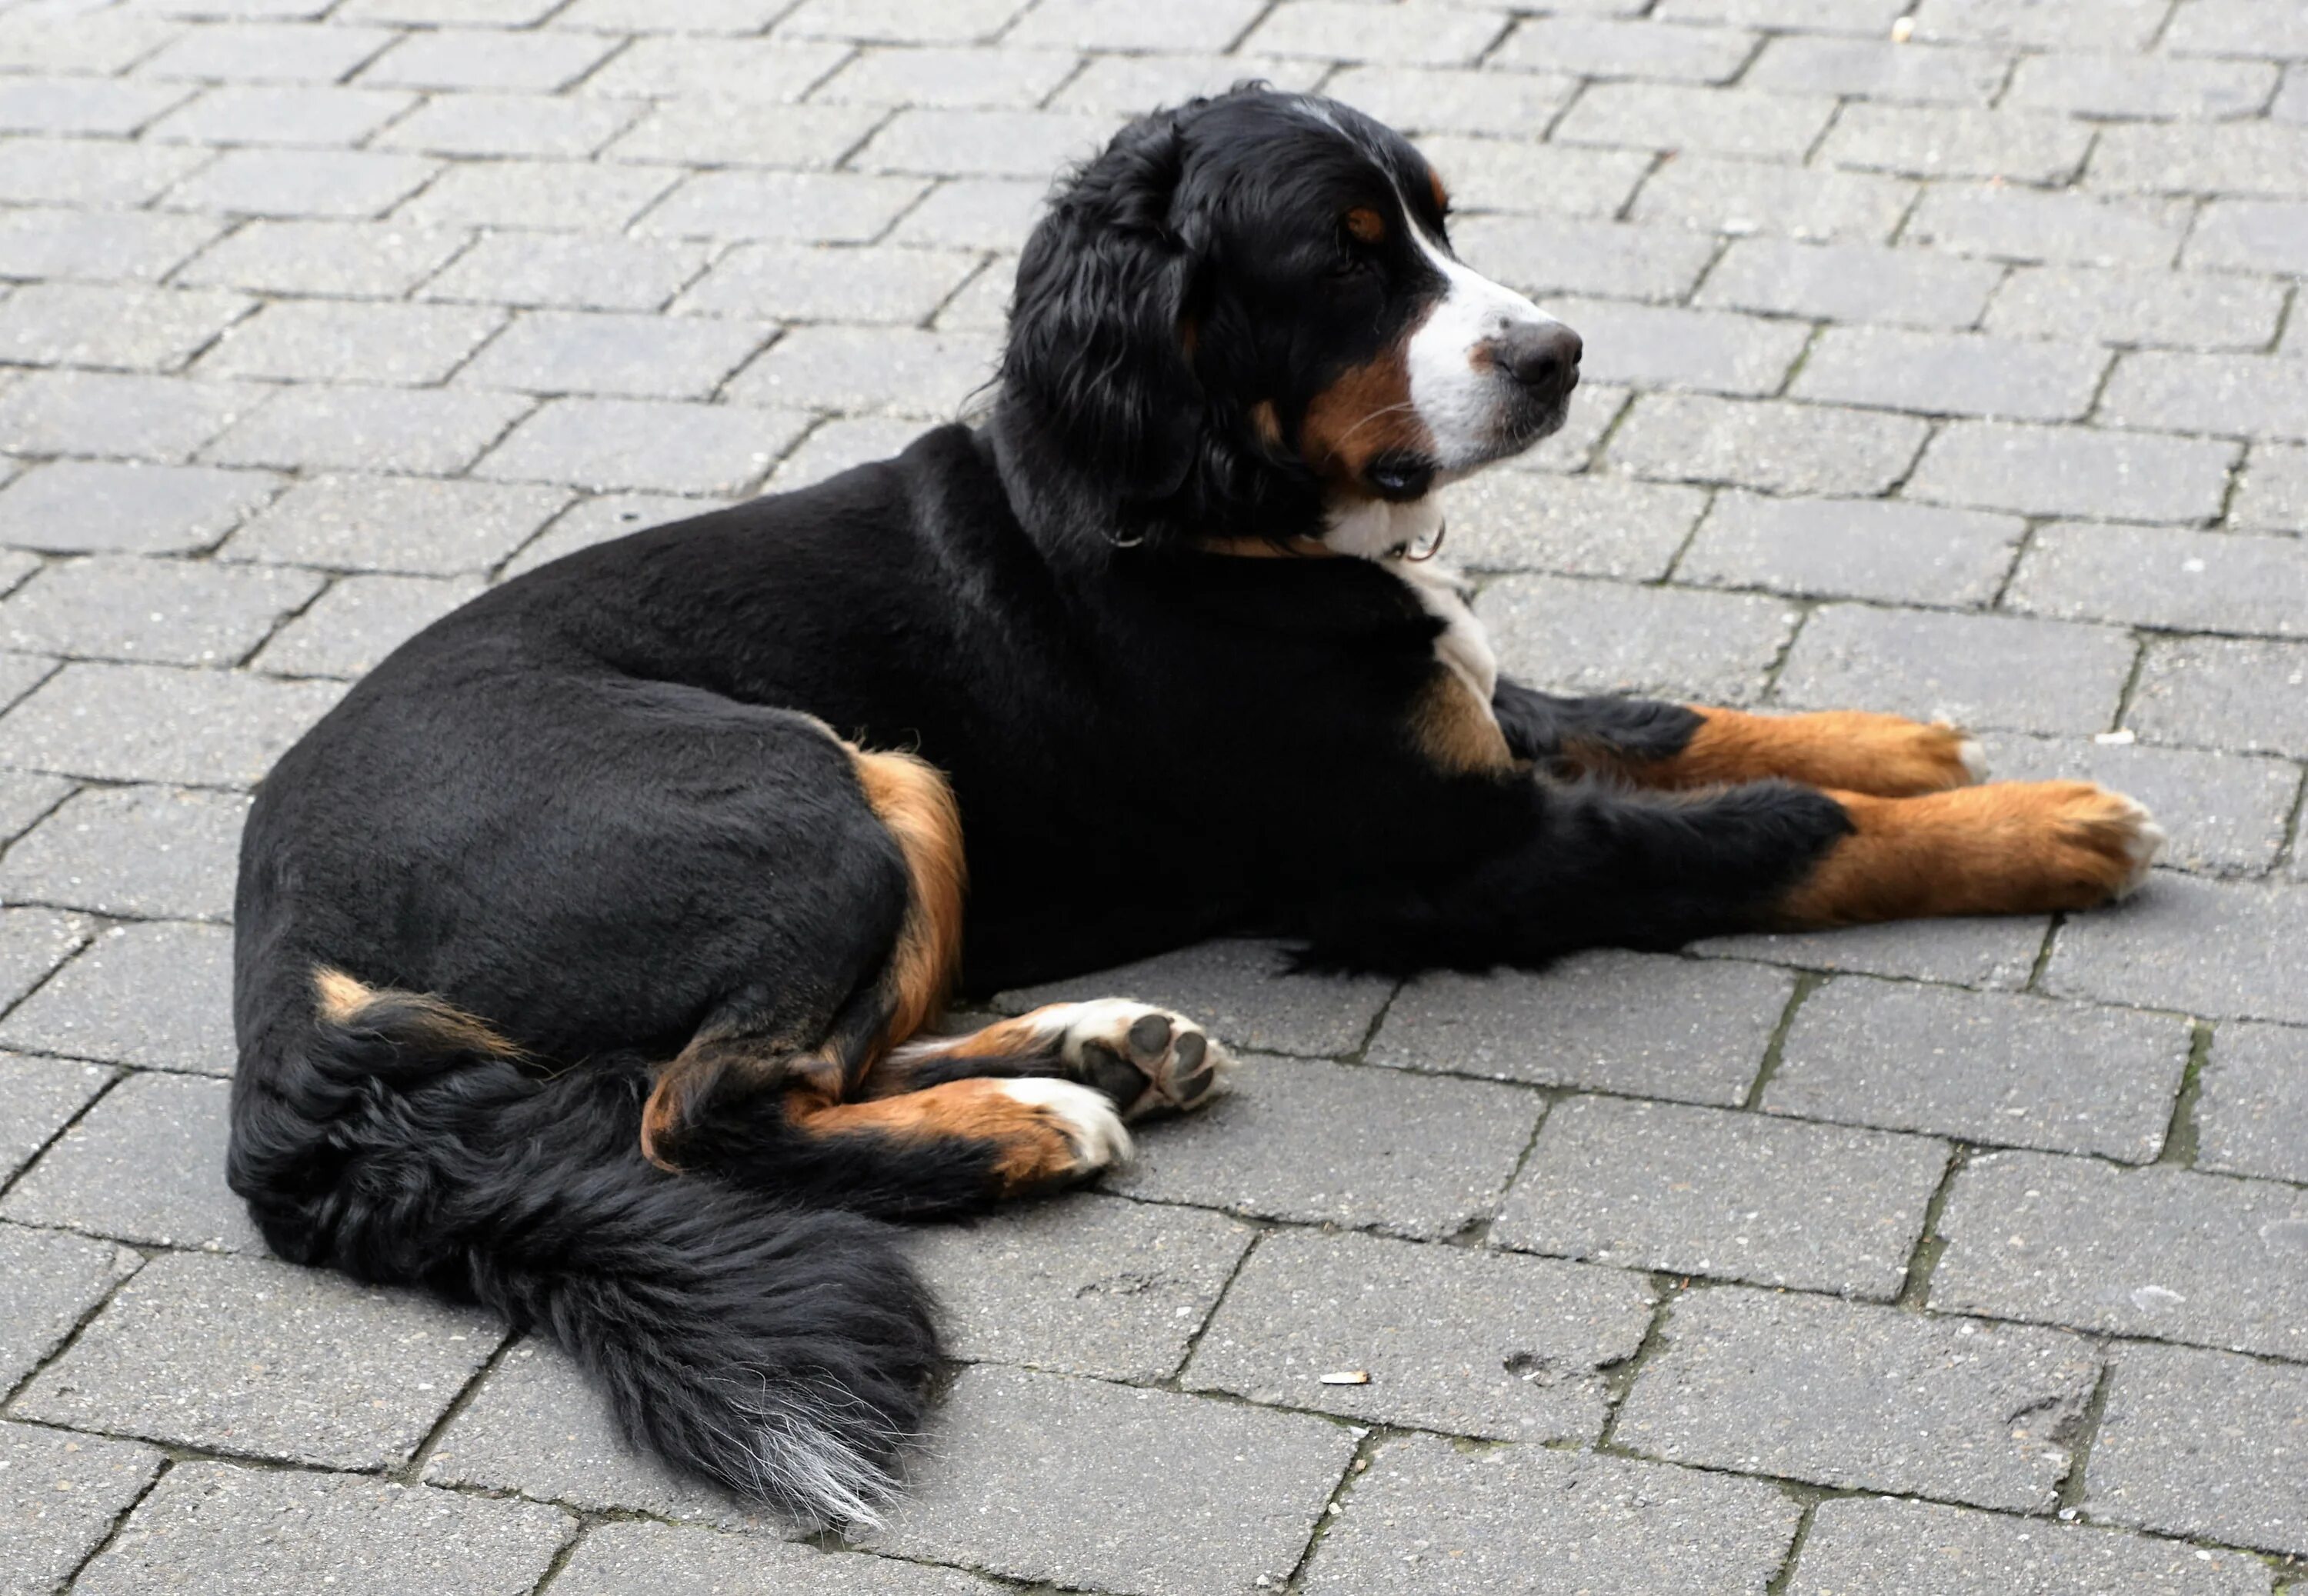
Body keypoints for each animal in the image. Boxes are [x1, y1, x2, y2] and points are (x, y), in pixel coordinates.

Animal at [225, 84, 2151, 1522]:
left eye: (1437, 220)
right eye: (1346, 260)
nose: (1558, 351)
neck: (1219, 513)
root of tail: (278, 932)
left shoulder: (1484, 730)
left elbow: (1669, 719)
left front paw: (1902, 735)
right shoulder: (1459, 854)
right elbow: (1769, 832)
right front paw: (2049, 824)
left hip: (891, 795)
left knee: (821, 1057)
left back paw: (1097, 1045)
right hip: (811, 775)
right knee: (701, 1110)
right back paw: (1034, 1121)